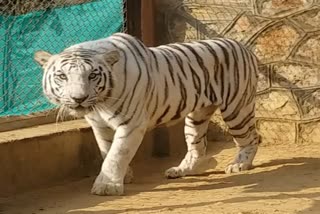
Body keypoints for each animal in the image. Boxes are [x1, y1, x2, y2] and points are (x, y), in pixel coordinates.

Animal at [34, 32, 260, 196]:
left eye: (92, 75)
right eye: (62, 76)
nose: (78, 98)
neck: (101, 104)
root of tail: (241, 45)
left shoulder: (131, 124)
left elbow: (117, 153)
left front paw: (107, 186)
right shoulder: (100, 126)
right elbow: (107, 150)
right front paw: (123, 176)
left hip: (236, 109)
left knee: (252, 138)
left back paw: (240, 164)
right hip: (196, 117)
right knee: (199, 146)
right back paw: (180, 170)